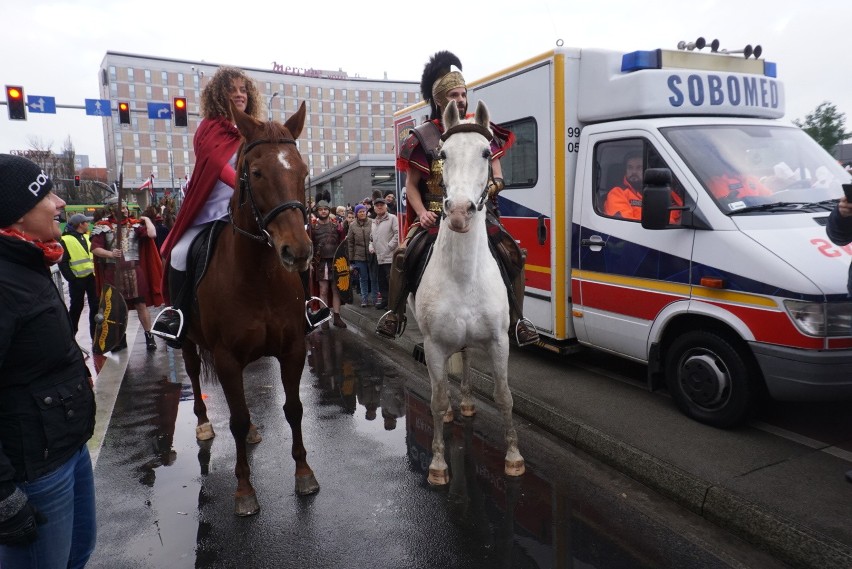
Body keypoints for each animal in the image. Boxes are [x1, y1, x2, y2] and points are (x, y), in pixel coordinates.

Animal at [181, 101, 318, 516]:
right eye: (255, 172)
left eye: (303, 170)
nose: (298, 251)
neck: (258, 277)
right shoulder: (226, 357)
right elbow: (237, 421)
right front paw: (244, 490)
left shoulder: (293, 349)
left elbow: (294, 409)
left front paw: (304, 473)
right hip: (187, 342)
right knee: (194, 374)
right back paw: (204, 423)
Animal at [408, 97, 524, 484]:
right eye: (442, 154)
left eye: (487, 152)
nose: (459, 212)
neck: (462, 275)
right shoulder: (434, 344)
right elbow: (437, 398)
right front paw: (438, 464)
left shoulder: (500, 341)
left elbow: (504, 397)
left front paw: (513, 457)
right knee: (440, 383)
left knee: (468, 358)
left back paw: (469, 402)